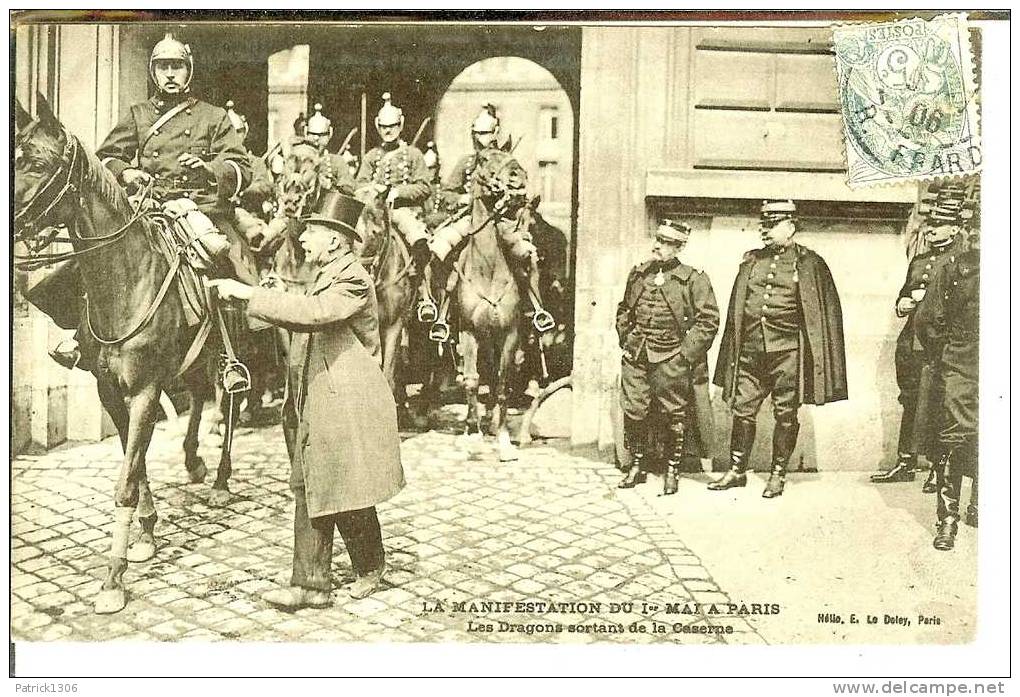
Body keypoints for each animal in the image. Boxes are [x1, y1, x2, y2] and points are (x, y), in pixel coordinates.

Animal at [14, 95, 236, 612]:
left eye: (38, 163)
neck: (124, 283)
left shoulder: (145, 391)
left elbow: (125, 481)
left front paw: (113, 578)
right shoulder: (111, 391)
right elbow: (135, 464)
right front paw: (147, 535)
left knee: (233, 397)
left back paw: (219, 478)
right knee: (200, 394)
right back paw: (194, 461)